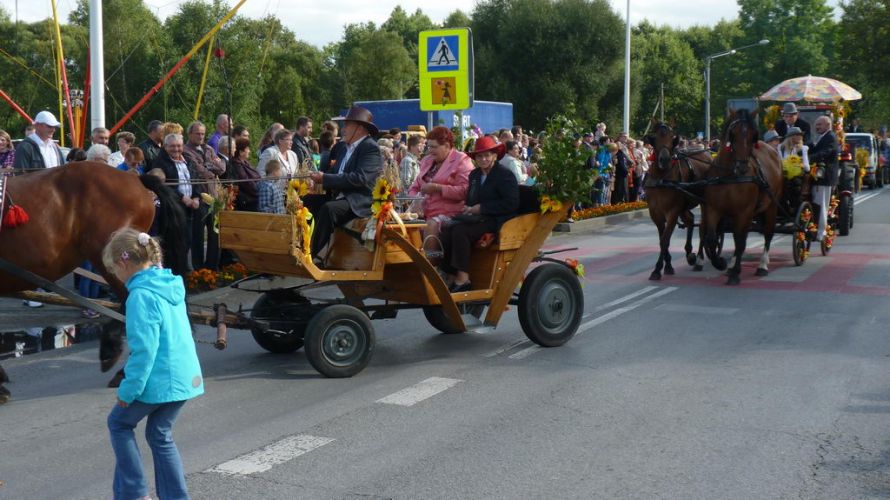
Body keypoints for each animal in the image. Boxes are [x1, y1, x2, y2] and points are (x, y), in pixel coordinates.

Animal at [640, 119, 712, 280]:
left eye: (672, 138)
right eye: (655, 139)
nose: (664, 159)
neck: (662, 179)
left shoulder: (672, 211)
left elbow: (665, 240)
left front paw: (658, 269)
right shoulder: (655, 213)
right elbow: (662, 238)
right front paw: (667, 265)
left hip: (704, 203)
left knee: (703, 228)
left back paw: (699, 258)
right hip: (684, 206)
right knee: (690, 220)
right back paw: (690, 253)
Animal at [704, 109, 780, 286]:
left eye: (753, 135)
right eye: (733, 134)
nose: (743, 167)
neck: (729, 176)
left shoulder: (744, 212)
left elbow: (740, 242)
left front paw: (735, 274)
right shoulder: (713, 209)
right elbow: (712, 238)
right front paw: (720, 263)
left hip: (771, 207)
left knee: (768, 233)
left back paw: (762, 265)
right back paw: (732, 264)